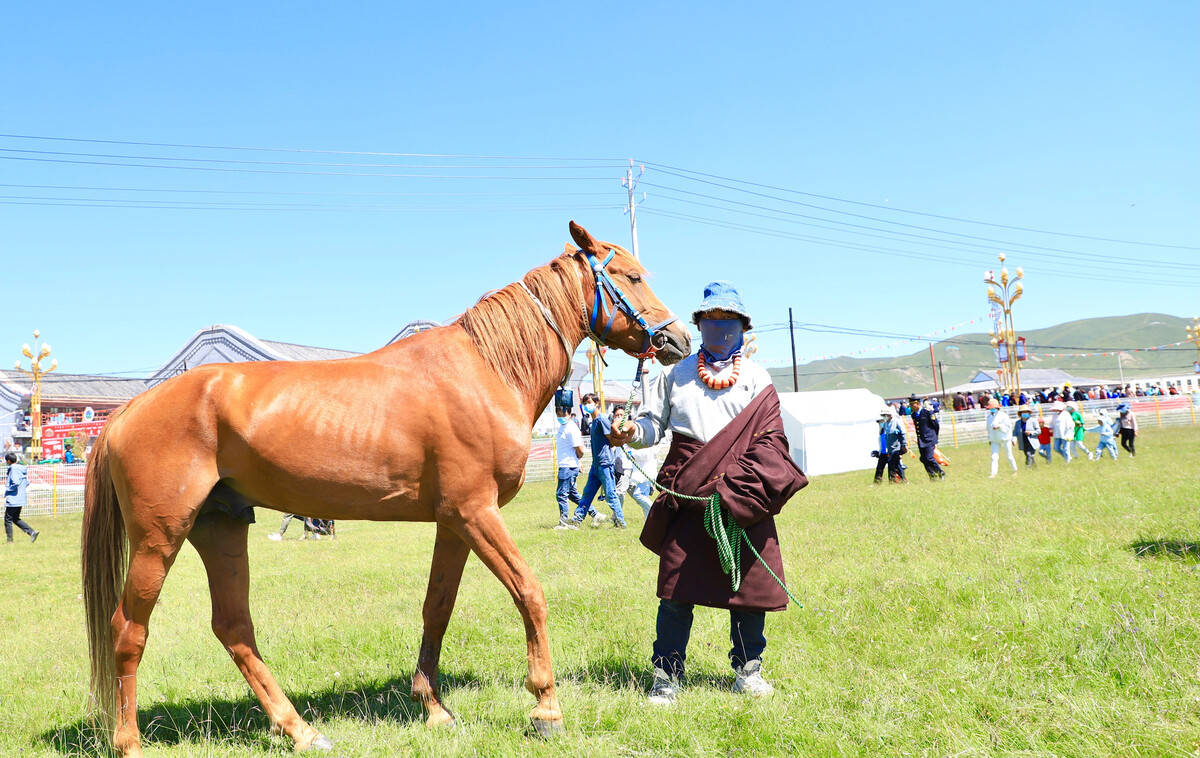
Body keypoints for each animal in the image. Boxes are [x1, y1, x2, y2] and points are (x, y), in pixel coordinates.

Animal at [79, 220, 691, 758]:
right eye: (633, 276)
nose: (678, 338)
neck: (484, 372)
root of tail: (130, 410)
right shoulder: (476, 513)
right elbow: (530, 592)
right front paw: (546, 708)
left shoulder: (455, 521)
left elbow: (437, 607)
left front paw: (433, 707)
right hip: (159, 537)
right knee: (128, 631)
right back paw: (129, 742)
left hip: (220, 526)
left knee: (233, 627)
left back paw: (300, 730)